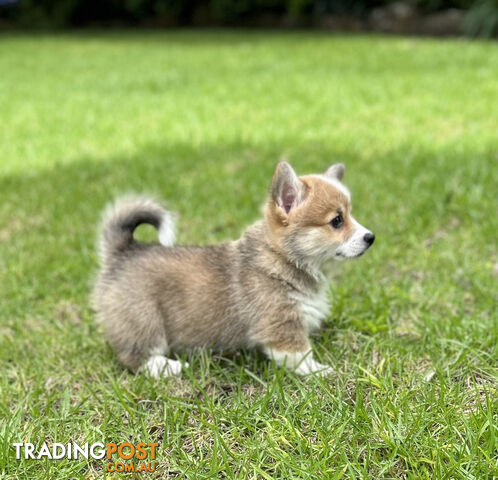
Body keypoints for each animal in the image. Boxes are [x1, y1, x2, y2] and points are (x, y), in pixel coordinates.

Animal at [92, 163, 374, 376]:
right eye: (337, 221)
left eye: (350, 215)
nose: (371, 237)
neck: (284, 258)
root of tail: (123, 251)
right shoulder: (281, 325)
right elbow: (300, 355)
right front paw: (321, 370)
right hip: (144, 318)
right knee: (134, 356)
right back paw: (169, 367)